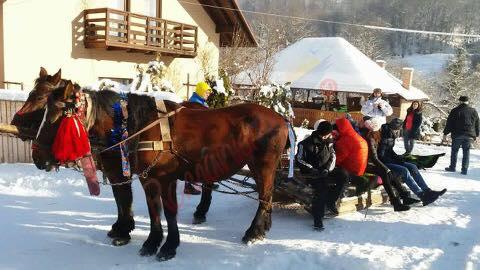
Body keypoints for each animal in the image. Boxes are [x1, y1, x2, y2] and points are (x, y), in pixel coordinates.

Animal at [32, 81, 288, 260]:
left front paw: (168, 246)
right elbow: (152, 209)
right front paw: (151, 242)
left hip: (263, 166)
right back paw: (262, 227)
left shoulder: (164, 179)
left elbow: (168, 211)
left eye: (55, 118)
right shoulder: (147, 178)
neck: (138, 126)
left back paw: (253, 232)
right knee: (266, 197)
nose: (37, 157)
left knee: (264, 197)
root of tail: (280, 118)